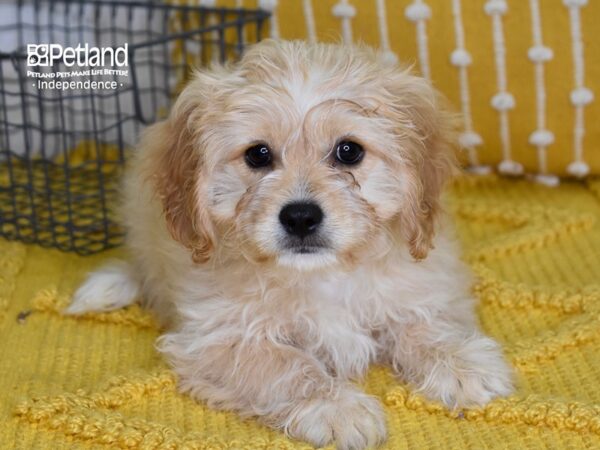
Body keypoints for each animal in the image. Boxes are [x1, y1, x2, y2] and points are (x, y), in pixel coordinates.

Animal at [68, 39, 512, 450]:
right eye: (258, 154)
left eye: (348, 151)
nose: (300, 217)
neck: (322, 275)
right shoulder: (218, 337)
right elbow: (285, 364)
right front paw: (336, 408)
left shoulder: (418, 286)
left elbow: (424, 325)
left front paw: (463, 365)